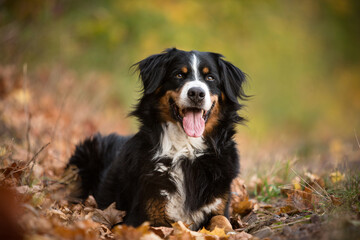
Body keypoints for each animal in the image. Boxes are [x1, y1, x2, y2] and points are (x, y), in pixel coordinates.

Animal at [67, 47, 248, 230]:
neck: (187, 151)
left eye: (210, 77)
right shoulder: (145, 214)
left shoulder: (219, 206)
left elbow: (222, 221)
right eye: (179, 75)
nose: (196, 93)